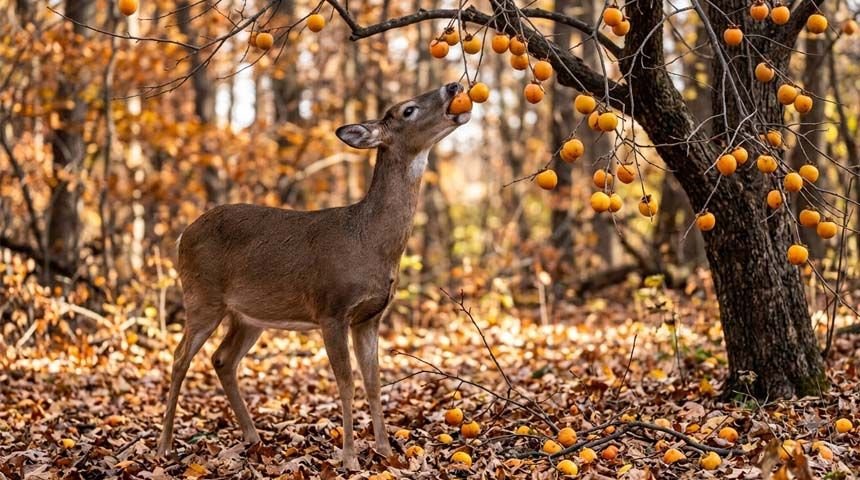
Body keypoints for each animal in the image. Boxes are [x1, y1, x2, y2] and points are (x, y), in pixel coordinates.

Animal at [156, 83, 471, 470]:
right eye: (407, 110)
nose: (453, 87)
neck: (369, 239)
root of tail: (182, 235)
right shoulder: (331, 309)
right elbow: (346, 382)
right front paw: (350, 458)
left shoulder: (370, 317)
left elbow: (373, 381)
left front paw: (384, 451)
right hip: (202, 296)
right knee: (179, 357)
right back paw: (164, 446)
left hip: (248, 316)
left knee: (222, 359)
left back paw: (253, 437)